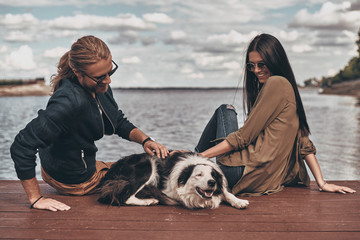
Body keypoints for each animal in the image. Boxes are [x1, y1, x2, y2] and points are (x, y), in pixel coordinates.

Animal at [98, 153, 249, 209]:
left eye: (213, 176)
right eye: (198, 175)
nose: (212, 183)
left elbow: (225, 191)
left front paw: (238, 201)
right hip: (148, 164)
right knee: (123, 196)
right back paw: (148, 201)